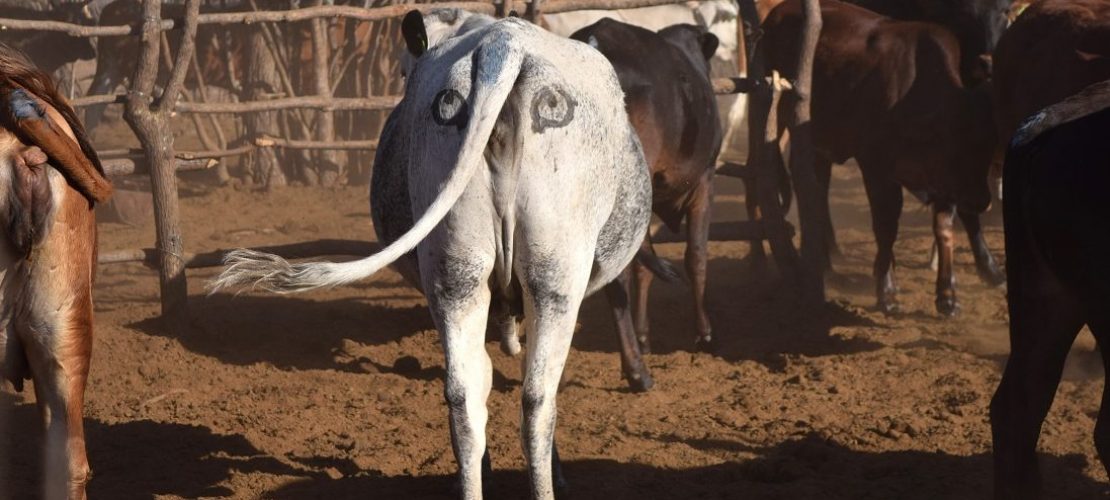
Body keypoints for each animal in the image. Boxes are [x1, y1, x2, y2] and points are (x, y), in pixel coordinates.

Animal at [762, 0, 1000, 316]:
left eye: (988, 147)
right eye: (957, 149)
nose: (982, 201)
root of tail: (777, 13)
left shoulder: (943, 184)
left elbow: (945, 229)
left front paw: (947, 296)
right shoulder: (876, 168)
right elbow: (886, 227)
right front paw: (886, 291)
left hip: (819, 145)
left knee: (817, 188)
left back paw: (825, 259)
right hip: (777, 116)